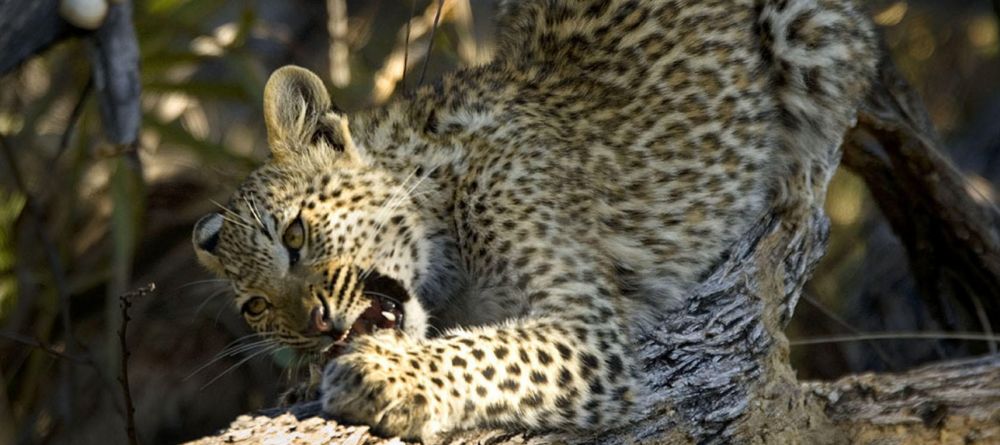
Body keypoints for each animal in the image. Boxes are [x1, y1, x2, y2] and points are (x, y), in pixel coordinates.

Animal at [189, 0, 876, 440]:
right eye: (255, 308)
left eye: (295, 235)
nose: (313, 325)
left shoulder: (588, 330)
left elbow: (486, 351)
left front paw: (379, 374)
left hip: (805, 26)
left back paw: (790, 193)